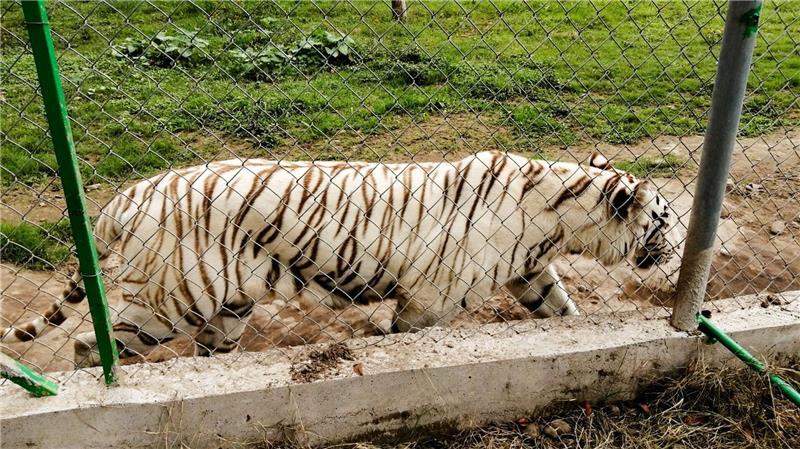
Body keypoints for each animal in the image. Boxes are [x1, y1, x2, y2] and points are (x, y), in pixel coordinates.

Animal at [1, 151, 680, 367]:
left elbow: (561, 312)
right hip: (172, 299)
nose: (676, 251)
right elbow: (406, 338)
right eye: (665, 220)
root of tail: (130, 193)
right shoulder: (430, 301)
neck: (559, 219)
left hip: (228, 306)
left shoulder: (530, 272)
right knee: (90, 345)